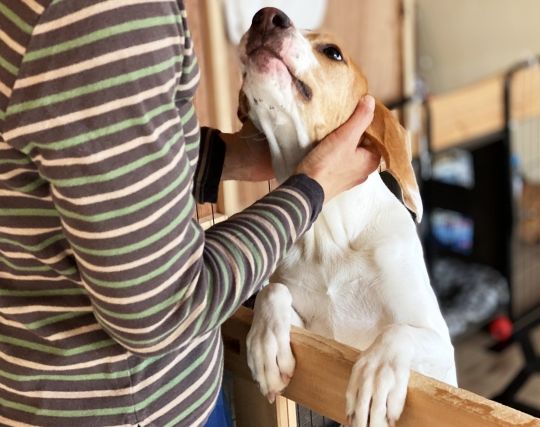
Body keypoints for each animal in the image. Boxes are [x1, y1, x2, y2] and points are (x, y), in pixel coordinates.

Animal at [239, 7, 456, 427]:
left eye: (333, 52)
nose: (265, 15)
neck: (329, 234)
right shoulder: (313, 335)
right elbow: (273, 291)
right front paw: (265, 344)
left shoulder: (441, 357)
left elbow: (399, 332)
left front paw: (376, 376)